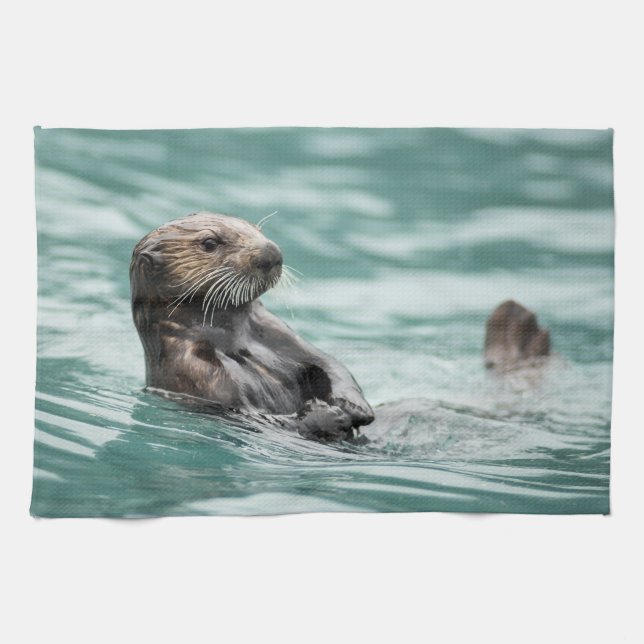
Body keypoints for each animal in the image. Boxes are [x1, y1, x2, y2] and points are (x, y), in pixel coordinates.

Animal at [130, 212, 374, 442]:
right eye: (209, 243)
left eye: (256, 229)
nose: (271, 252)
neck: (234, 342)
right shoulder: (196, 371)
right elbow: (258, 418)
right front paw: (328, 415)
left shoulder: (278, 333)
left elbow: (329, 363)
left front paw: (354, 405)